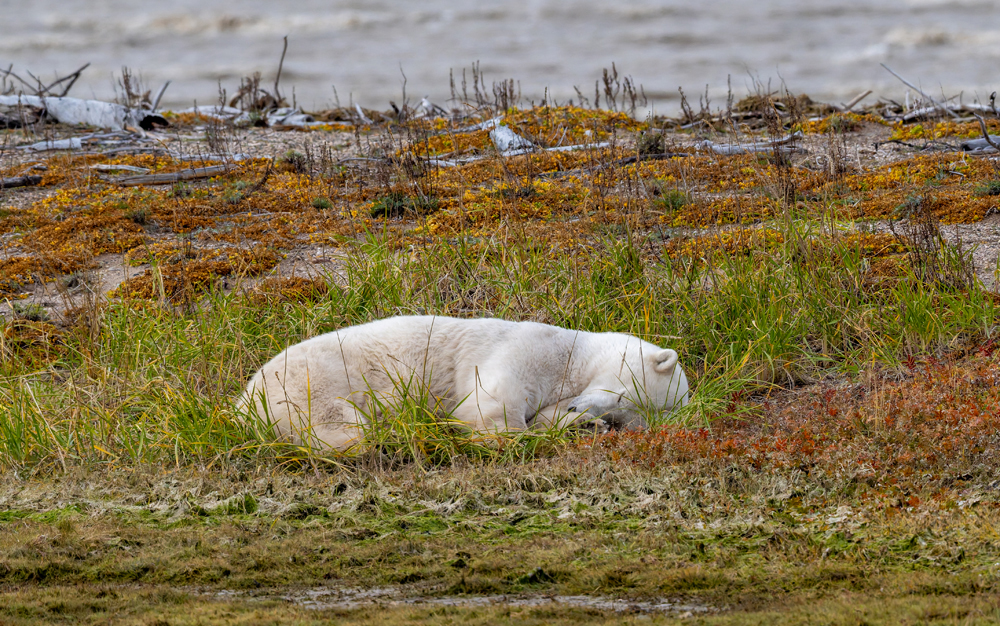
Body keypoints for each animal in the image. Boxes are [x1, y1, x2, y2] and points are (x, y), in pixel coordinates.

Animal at [238, 315, 689, 451]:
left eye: (625, 418)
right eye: (623, 394)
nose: (585, 410)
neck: (572, 356)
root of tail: (243, 400)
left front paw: (578, 425)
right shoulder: (528, 347)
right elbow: (488, 404)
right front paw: (512, 433)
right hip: (311, 380)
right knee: (336, 423)